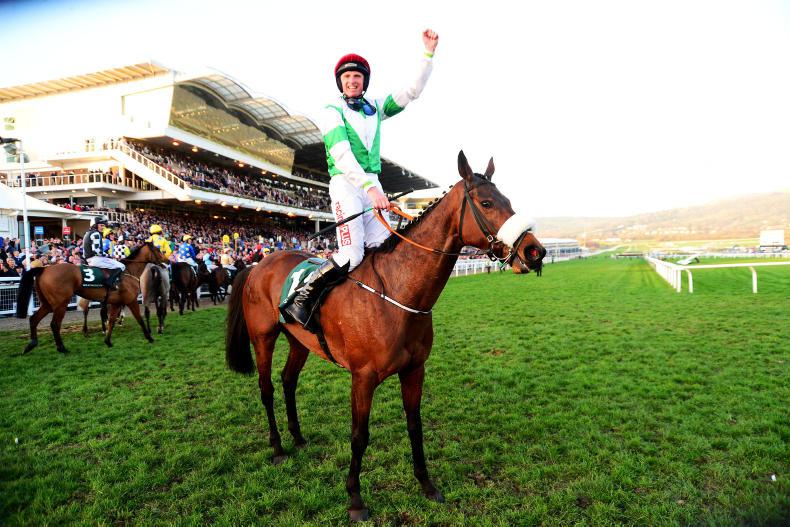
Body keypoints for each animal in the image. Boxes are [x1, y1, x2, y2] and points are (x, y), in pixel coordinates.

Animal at [15, 242, 167, 352]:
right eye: (159, 250)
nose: (167, 261)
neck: (128, 272)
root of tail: (45, 269)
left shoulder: (116, 303)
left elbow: (111, 321)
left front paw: (108, 341)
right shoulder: (131, 300)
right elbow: (139, 319)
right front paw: (150, 337)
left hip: (47, 303)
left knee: (34, 319)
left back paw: (31, 344)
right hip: (60, 304)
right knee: (54, 324)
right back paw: (62, 348)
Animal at [225, 151, 546, 521]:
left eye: (508, 200)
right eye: (487, 202)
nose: (535, 251)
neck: (397, 292)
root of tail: (256, 265)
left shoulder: (414, 370)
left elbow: (415, 426)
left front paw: (427, 485)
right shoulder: (362, 377)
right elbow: (359, 435)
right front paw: (355, 499)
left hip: (300, 342)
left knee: (288, 380)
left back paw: (299, 438)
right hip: (263, 337)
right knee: (267, 388)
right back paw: (278, 448)